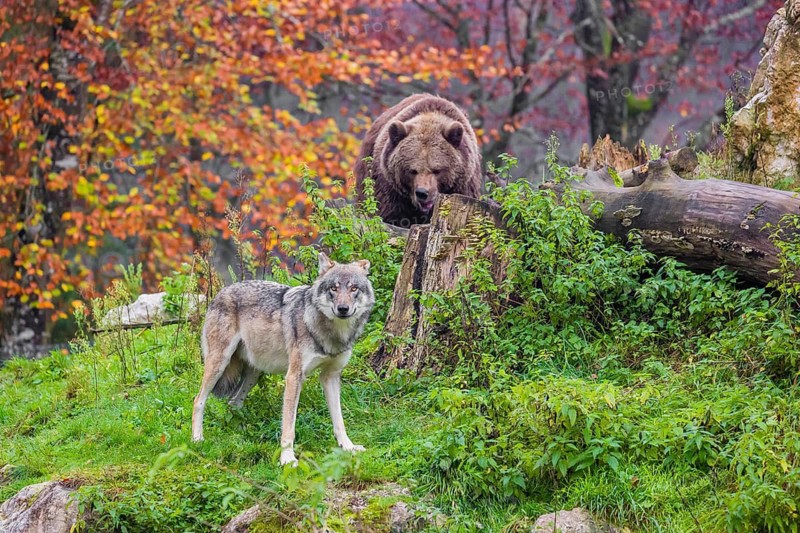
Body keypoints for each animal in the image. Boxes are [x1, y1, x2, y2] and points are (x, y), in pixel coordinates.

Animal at [191, 253, 375, 466]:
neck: (331, 334)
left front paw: (348, 447)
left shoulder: (331, 376)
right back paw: (197, 439)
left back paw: (242, 436)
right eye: (334, 288)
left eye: (354, 288)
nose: (343, 308)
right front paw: (287, 458)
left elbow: (339, 420)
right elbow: (289, 426)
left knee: (233, 403)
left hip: (254, 373)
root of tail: (222, 291)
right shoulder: (294, 376)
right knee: (198, 400)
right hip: (219, 364)